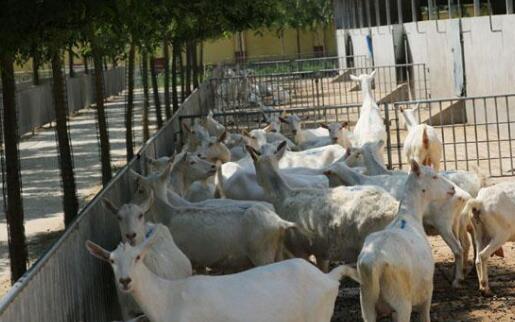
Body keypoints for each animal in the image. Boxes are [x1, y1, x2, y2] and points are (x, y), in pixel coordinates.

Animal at [86, 238, 352, 322]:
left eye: (138, 257)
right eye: (111, 260)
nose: (125, 281)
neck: (169, 299)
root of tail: (329, 278)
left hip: (317, 317)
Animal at [342, 161, 456, 322]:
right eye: (434, 176)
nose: (452, 189)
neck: (409, 216)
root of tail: (374, 263)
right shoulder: (427, 291)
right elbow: (425, 316)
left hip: (366, 301)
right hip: (401, 299)